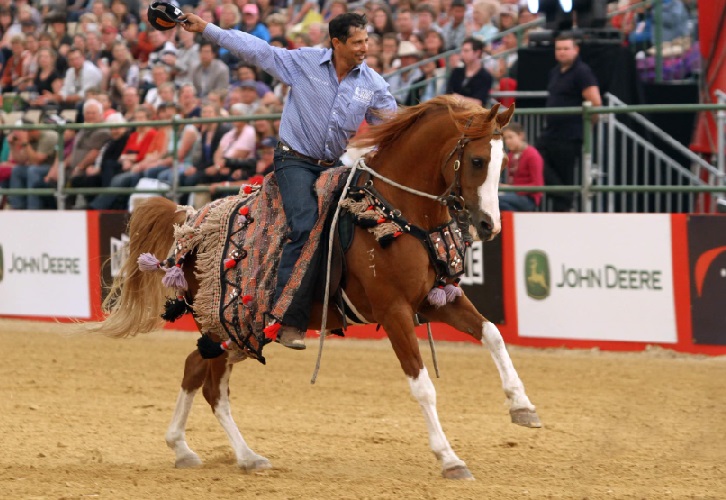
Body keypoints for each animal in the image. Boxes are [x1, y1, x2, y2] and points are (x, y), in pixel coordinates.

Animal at [94, 96, 540, 480]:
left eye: (504, 162)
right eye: (478, 160)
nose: (489, 225)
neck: (395, 211)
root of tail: (190, 219)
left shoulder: (434, 301)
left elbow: (492, 334)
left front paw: (522, 406)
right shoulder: (394, 310)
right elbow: (422, 385)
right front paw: (449, 458)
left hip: (238, 331)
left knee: (195, 369)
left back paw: (192, 449)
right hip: (224, 325)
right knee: (210, 385)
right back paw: (237, 454)